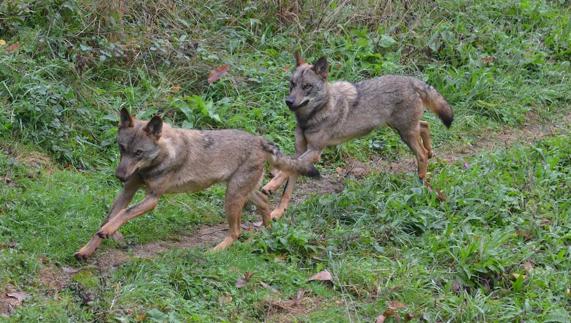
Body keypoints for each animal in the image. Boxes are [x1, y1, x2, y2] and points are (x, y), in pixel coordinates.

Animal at [73, 109, 320, 260]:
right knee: (264, 202)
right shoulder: (128, 190)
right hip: (241, 192)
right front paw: (88, 249)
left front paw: (108, 232)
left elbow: (122, 215)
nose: (119, 176)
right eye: (122, 148)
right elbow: (110, 216)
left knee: (236, 231)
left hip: (232, 197)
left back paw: (214, 252)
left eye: (139, 153)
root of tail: (260, 140)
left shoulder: (152, 199)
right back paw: (268, 232)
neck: (162, 155)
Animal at [264, 52, 456, 220]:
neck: (309, 119)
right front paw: (277, 213)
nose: (289, 101)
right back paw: (430, 153)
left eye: (307, 86)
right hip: (401, 129)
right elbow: (287, 187)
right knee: (425, 125)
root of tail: (410, 80)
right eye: (292, 84)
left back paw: (421, 179)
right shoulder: (300, 152)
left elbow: (286, 170)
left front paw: (270, 186)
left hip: (405, 133)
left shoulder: (315, 152)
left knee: (421, 152)